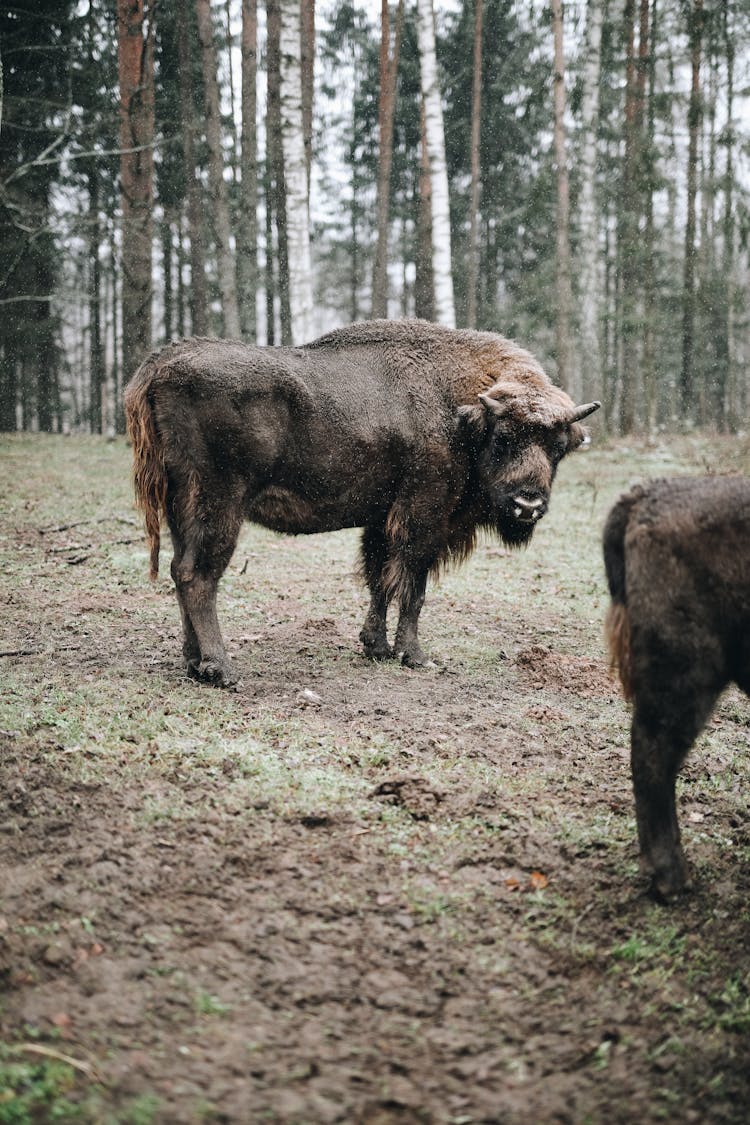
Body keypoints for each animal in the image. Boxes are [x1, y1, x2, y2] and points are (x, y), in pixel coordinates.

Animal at [125, 317, 602, 684]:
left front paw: (376, 647)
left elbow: (379, 579)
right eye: (503, 438)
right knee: (198, 576)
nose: (528, 504)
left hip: (181, 506)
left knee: (179, 569)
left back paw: (193, 662)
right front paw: (415, 656)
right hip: (219, 503)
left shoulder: (381, 520)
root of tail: (162, 363)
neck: (463, 414)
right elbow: (412, 586)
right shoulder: (423, 519)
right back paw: (221, 669)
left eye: (558, 446)